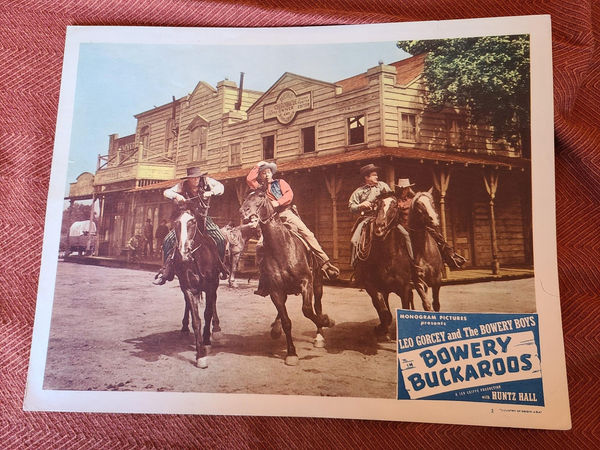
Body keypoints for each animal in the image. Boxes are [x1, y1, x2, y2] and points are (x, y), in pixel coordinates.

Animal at [173, 209, 223, 368]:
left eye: (192, 222)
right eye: (176, 223)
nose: (183, 252)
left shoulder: (211, 286)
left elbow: (207, 313)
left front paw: (206, 342)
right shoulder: (188, 288)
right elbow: (196, 320)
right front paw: (200, 354)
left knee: (213, 302)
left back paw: (216, 329)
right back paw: (184, 328)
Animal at [238, 188, 332, 368]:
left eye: (261, 196)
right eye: (246, 197)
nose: (243, 211)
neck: (282, 248)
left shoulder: (306, 283)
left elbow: (308, 310)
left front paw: (326, 321)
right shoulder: (275, 290)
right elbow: (286, 321)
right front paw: (291, 353)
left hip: (317, 284)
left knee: (318, 306)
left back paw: (320, 336)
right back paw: (276, 328)